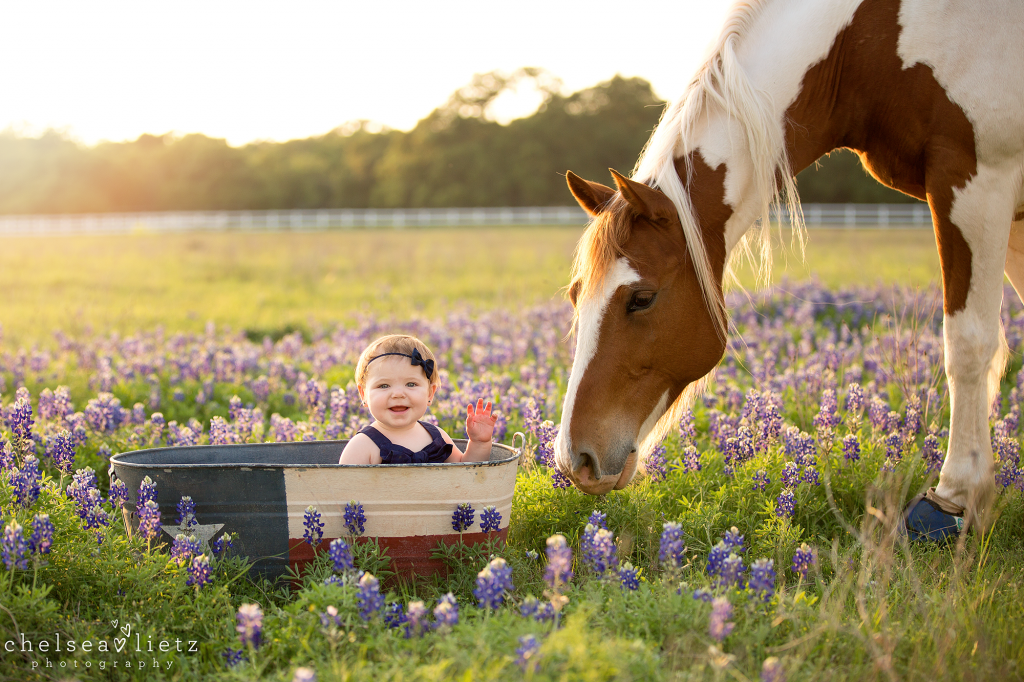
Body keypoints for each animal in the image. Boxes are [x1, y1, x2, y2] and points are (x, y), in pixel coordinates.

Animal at [557, 0, 1019, 520]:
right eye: (576, 296)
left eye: (641, 298)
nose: (575, 460)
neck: (862, 48)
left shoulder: (978, 175)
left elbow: (968, 342)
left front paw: (953, 497)